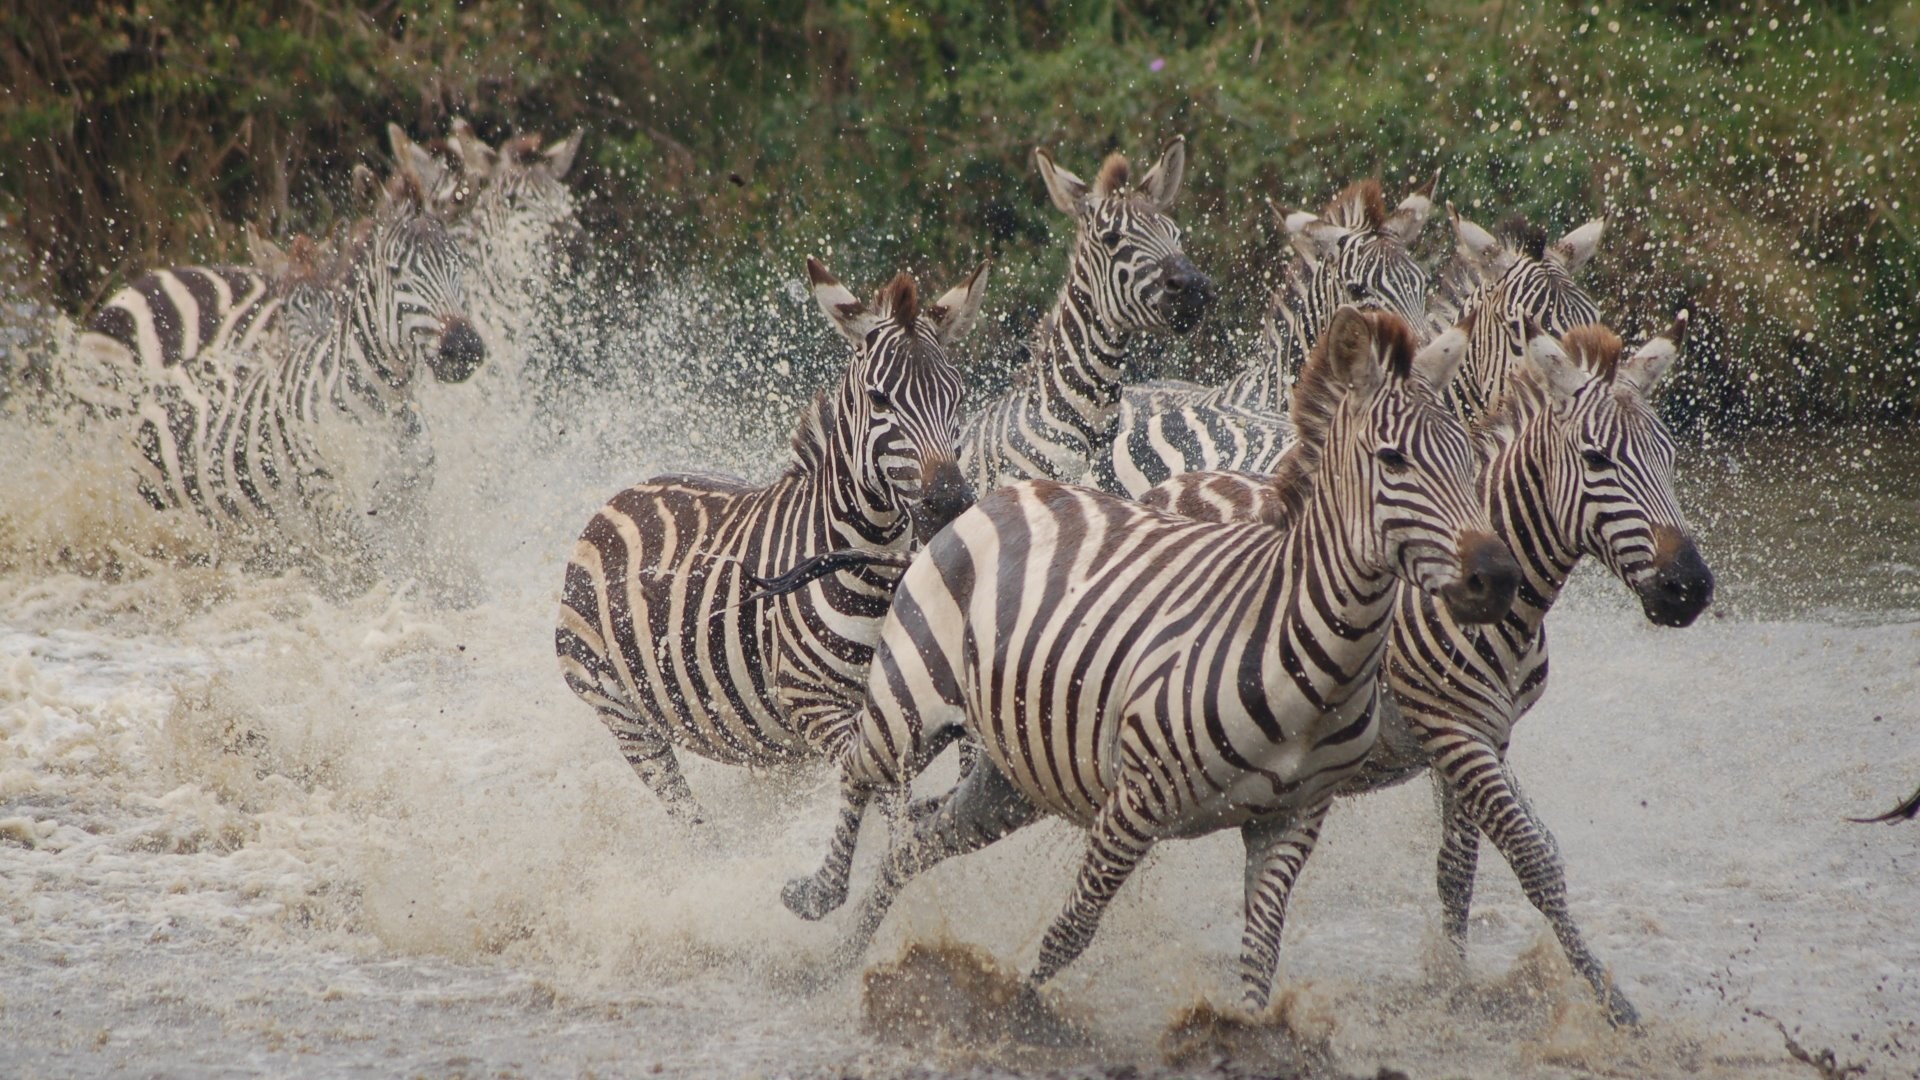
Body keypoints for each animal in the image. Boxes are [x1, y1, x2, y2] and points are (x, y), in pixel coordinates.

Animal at [553, 259, 988, 824]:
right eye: (879, 398)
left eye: (956, 395)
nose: (952, 502)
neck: (870, 578)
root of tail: (618, 498)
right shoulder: (818, 708)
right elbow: (888, 804)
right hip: (623, 717)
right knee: (689, 818)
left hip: (767, 744)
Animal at [781, 307, 1522, 1016]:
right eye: (1393, 461)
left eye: (1466, 454)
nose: (1496, 575)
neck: (1302, 648)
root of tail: (999, 492)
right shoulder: (1135, 799)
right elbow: (1071, 930)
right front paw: (1018, 1012)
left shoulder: (1291, 822)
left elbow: (1261, 957)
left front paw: (1247, 1033)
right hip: (911, 701)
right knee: (859, 769)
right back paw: (816, 897)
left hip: (1011, 771)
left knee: (918, 841)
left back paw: (839, 964)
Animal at [1140, 317, 1713, 1027]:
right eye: (1597, 458)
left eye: (1669, 455)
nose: (1691, 587)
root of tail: (1169, 484)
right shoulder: (1452, 731)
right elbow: (1529, 859)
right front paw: (1611, 1005)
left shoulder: (1484, 736)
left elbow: (1469, 866)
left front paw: (1454, 982)